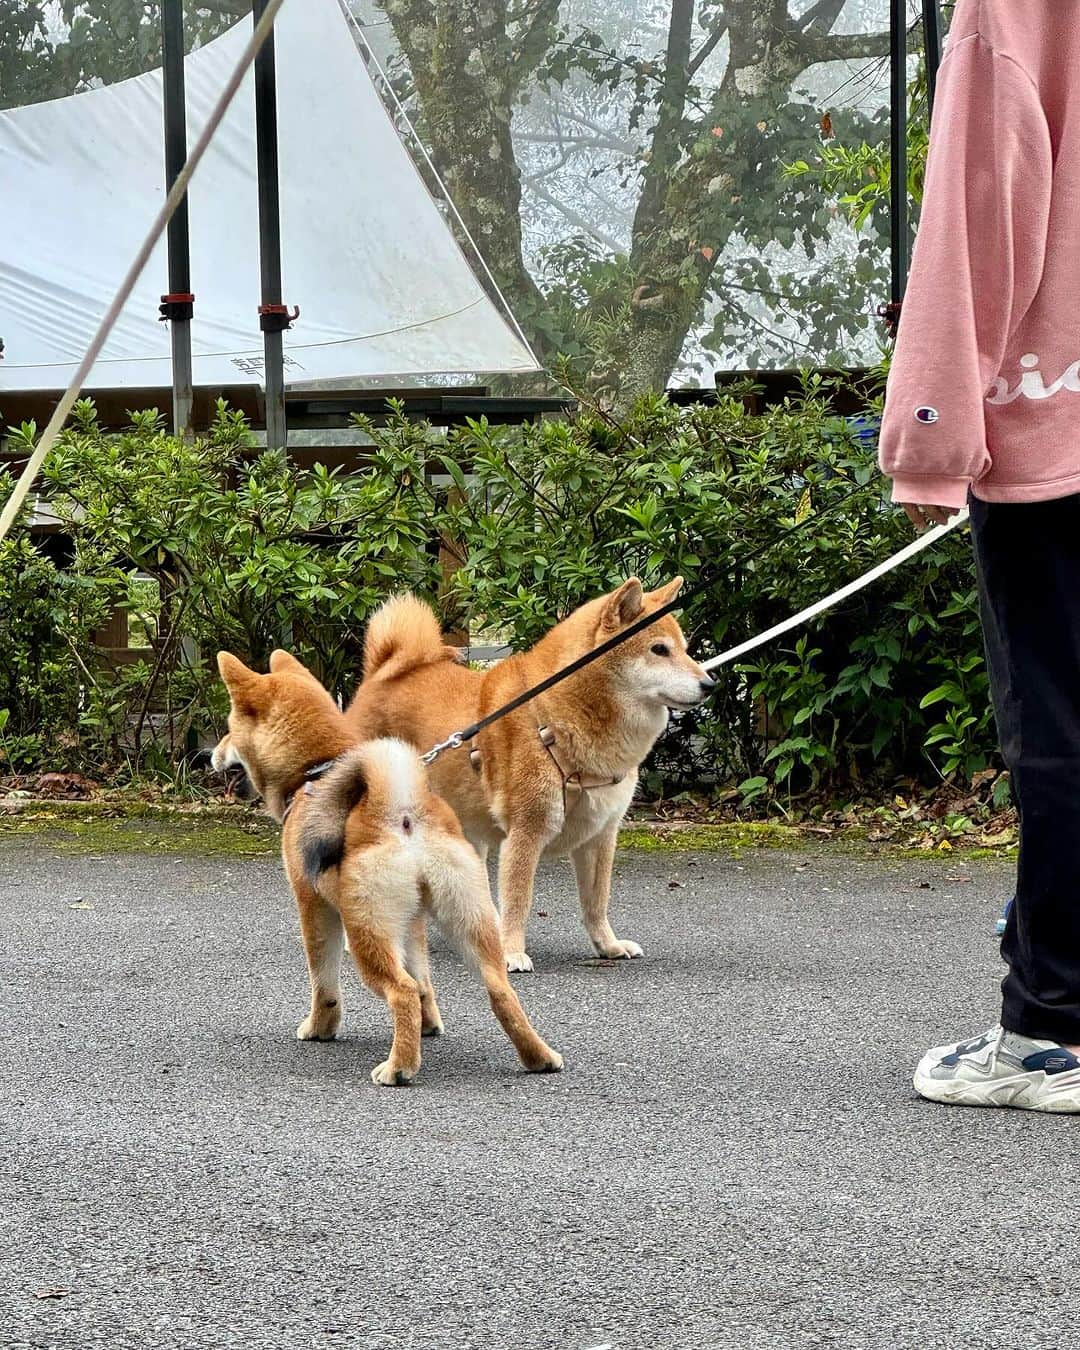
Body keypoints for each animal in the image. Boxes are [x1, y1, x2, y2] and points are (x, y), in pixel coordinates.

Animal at [213, 650, 564, 1085]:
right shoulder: (411, 921)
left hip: (367, 933)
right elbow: (424, 981)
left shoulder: (313, 905)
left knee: (401, 991)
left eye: (229, 729)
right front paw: (429, 1025)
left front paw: (319, 1028)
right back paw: (538, 1056)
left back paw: (399, 1067)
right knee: (497, 990)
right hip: (469, 920)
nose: (211, 755)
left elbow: (324, 983)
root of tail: (400, 810)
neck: (317, 766)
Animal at [348, 577, 718, 972]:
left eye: (685, 649)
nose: (710, 684)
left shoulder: (600, 836)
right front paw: (512, 952)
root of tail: (380, 674)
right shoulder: (527, 831)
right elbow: (519, 900)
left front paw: (608, 945)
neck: (556, 718)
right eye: (659, 649)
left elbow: (596, 902)